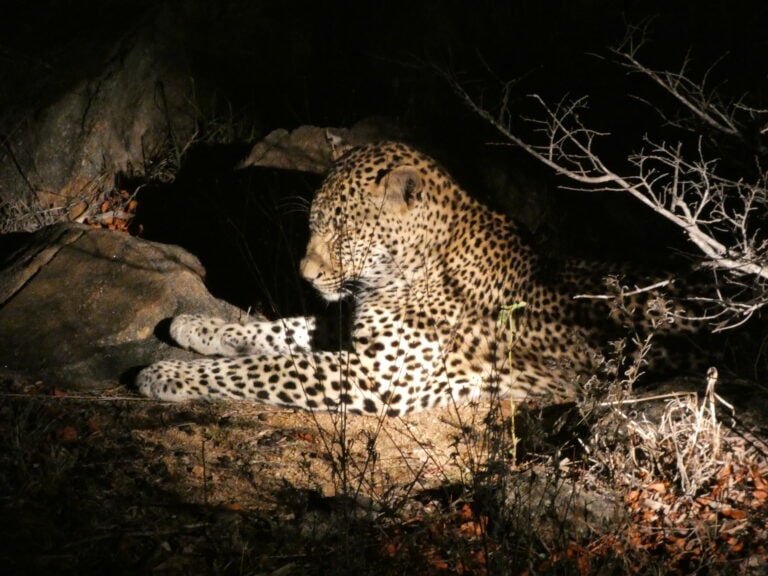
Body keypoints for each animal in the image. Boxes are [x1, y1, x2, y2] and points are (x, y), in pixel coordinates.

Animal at [136, 140, 697, 416]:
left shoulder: (377, 375)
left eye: (342, 232)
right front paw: (198, 326)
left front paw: (167, 375)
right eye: (315, 225)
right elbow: (277, 331)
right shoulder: (358, 336)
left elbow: (265, 368)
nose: (306, 273)